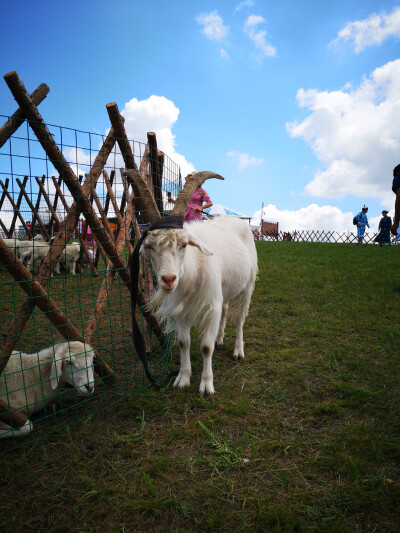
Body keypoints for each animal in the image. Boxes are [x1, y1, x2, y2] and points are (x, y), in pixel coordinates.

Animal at [127, 168, 260, 396]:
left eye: (183, 244)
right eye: (150, 246)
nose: (169, 279)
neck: (193, 270)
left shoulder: (211, 305)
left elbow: (205, 347)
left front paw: (206, 385)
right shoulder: (182, 309)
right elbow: (183, 342)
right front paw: (183, 377)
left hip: (248, 285)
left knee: (240, 318)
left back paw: (238, 350)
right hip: (225, 289)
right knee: (226, 310)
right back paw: (220, 339)